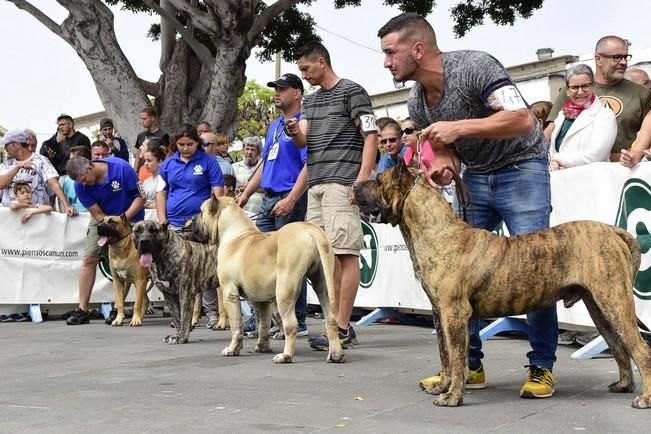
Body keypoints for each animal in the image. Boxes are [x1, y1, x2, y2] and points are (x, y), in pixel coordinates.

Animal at [194, 196, 346, 362]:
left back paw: (286, 356)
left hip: (284, 290)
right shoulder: (262, 300)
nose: (191, 219)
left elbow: (236, 326)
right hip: (323, 282)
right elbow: (263, 324)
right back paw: (336, 355)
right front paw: (263, 347)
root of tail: (309, 229)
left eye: (201, 212)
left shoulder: (230, 293)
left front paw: (232, 349)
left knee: (290, 324)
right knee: (331, 319)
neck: (235, 234)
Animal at [354, 161, 651, 408]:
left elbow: (457, 357)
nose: (355, 184)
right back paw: (624, 385)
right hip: (599, 307)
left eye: (378, 179)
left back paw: (645, 399)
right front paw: (443, 385)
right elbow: (446, 355)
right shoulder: (440, 313)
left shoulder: (454, 313)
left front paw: (452, 396)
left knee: (640, 349)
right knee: (619, 346)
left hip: (614, 301)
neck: (436, 231)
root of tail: (614, 231)